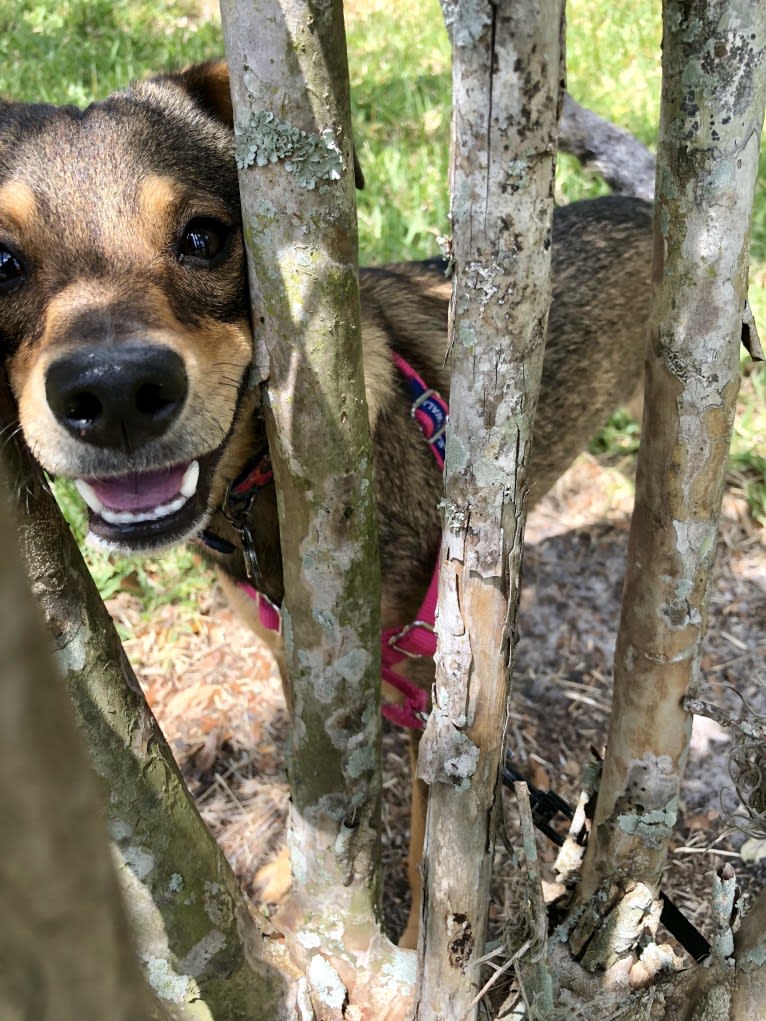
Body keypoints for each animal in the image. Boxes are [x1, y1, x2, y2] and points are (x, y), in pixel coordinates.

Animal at [0, 59, 653, 943]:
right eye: (1, 264)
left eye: (204, 237)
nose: (115, 395)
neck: (255, 501)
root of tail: (649, 203)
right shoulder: (294, 659)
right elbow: (311, 783)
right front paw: (294, 871)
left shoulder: (434, 701)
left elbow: (423, 857)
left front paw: (409, 953)